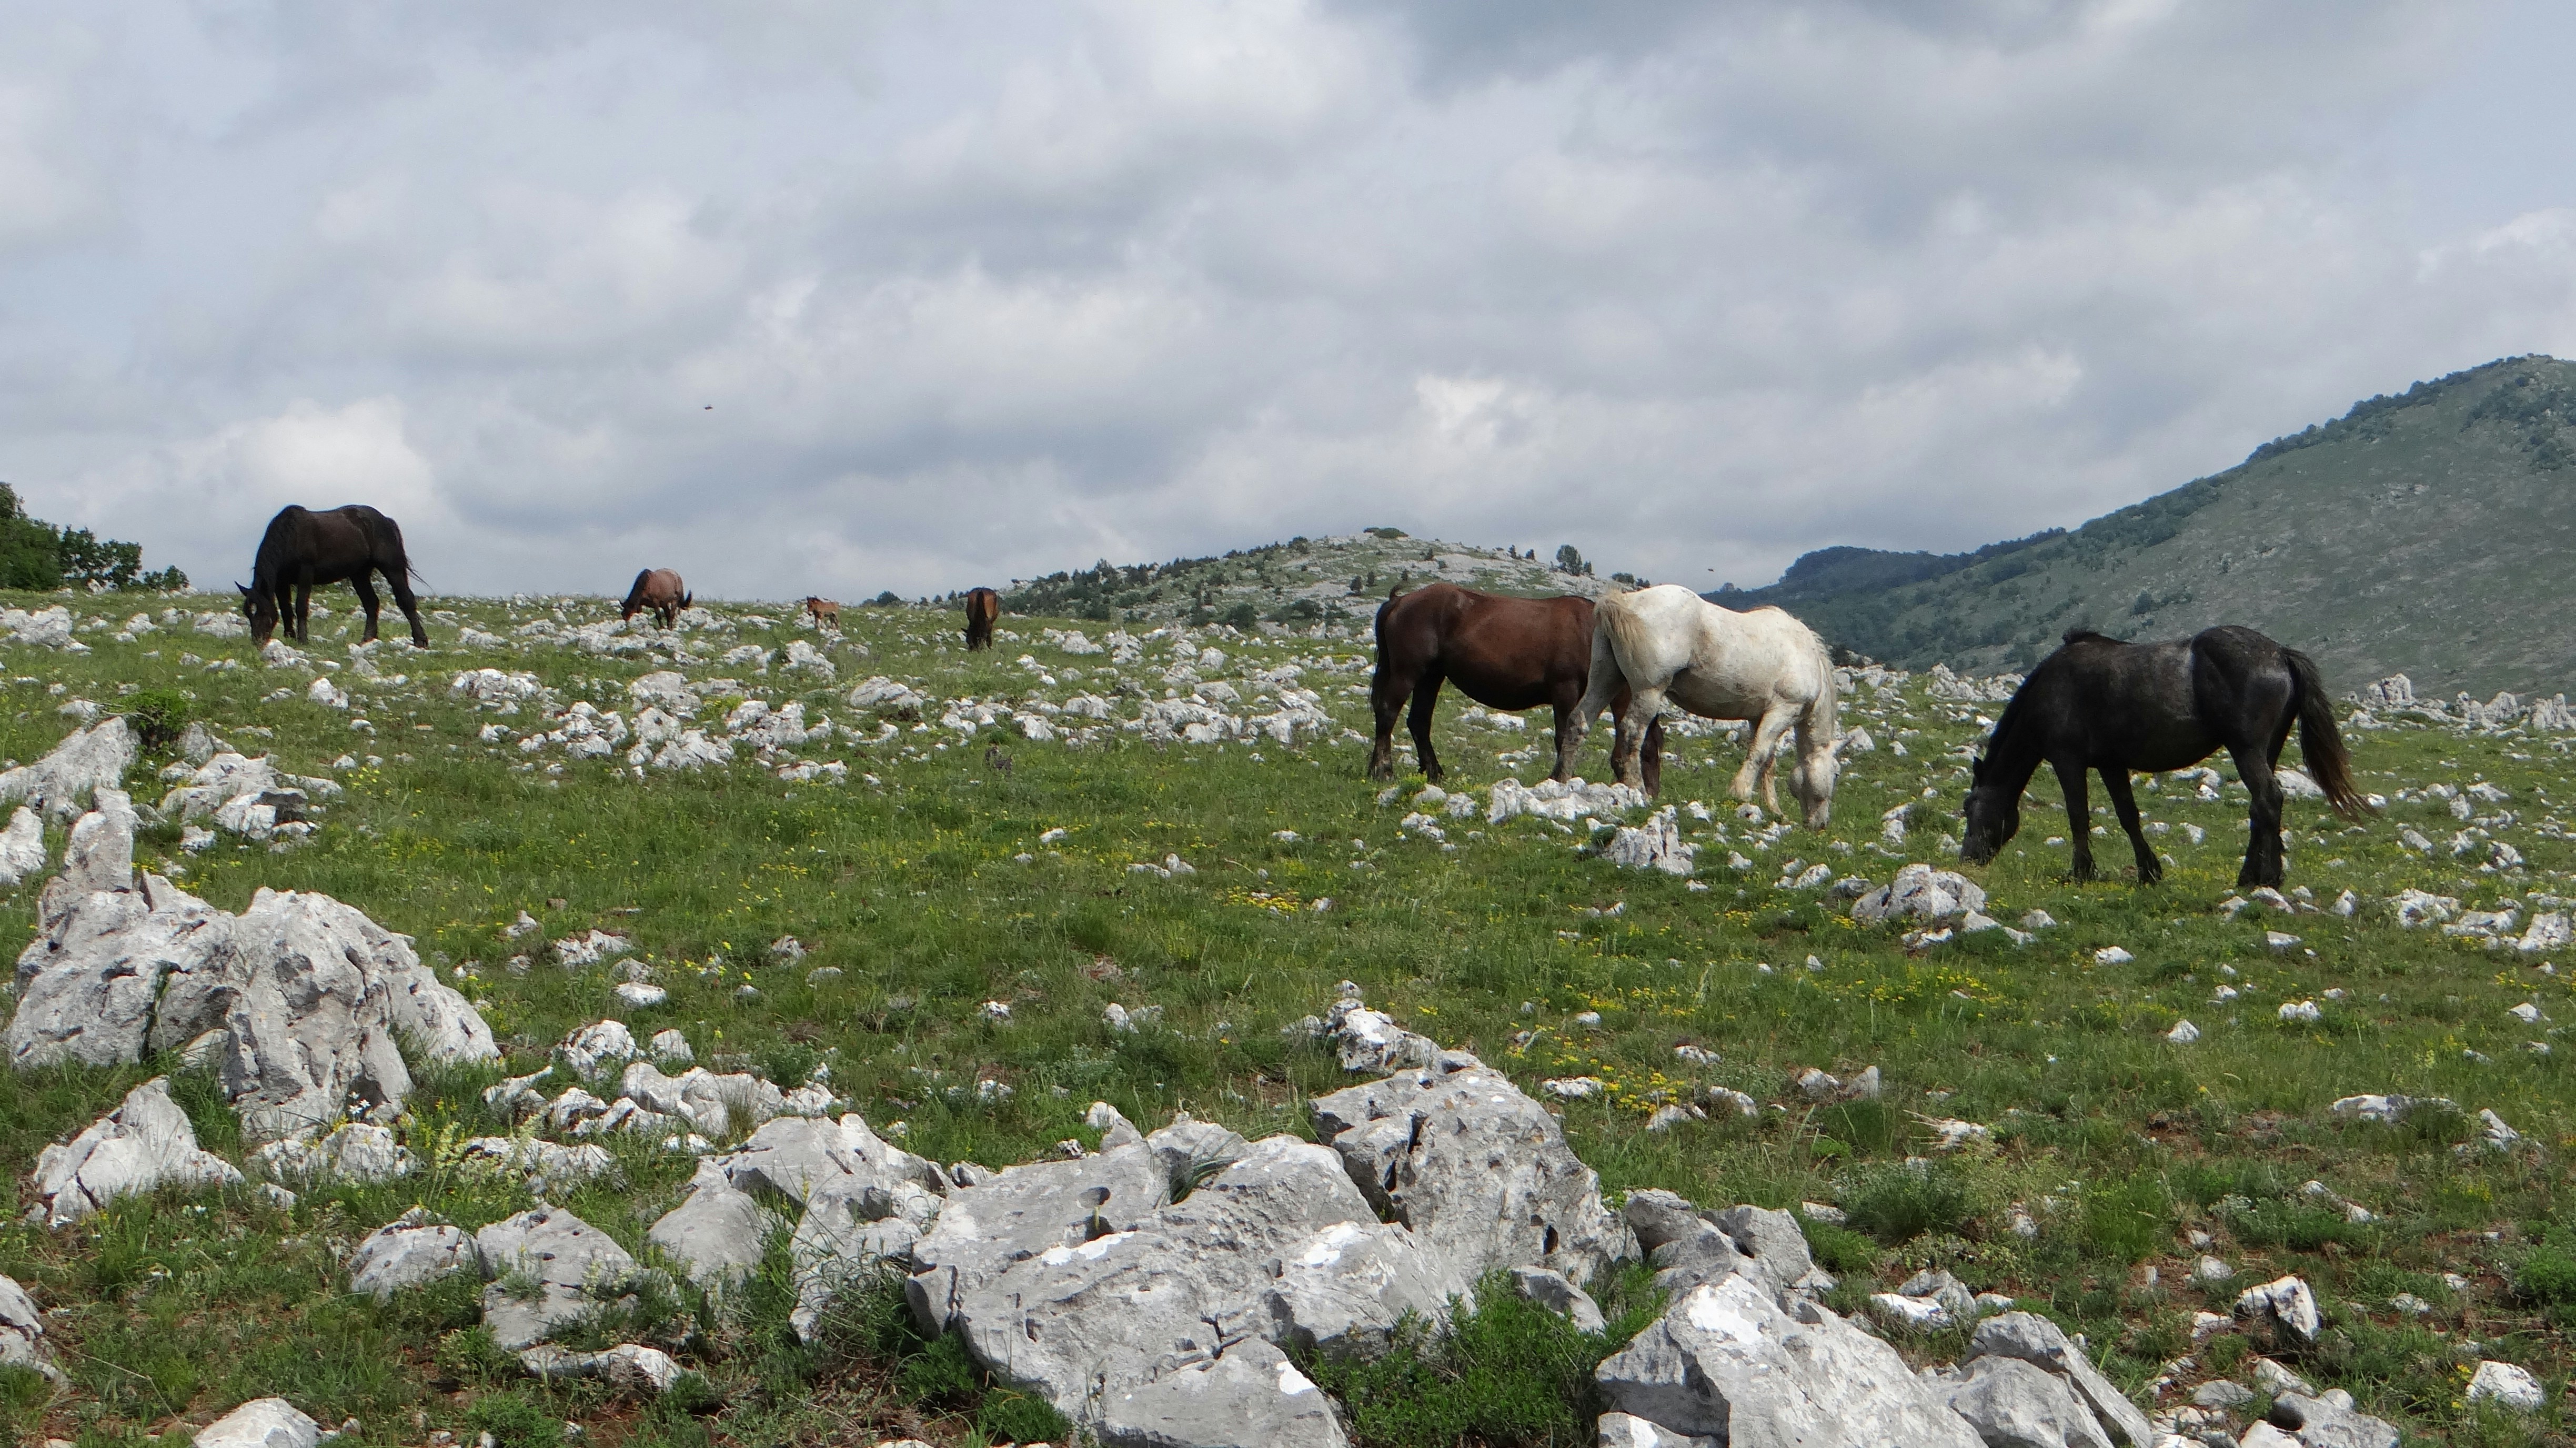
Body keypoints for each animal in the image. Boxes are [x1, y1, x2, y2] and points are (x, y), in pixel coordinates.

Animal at [238, 504, 428, 648]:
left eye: (262, 611)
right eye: (248, 613)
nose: (257, 641)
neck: (289, 536)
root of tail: (386, 520)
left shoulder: (305, 573)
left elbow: (300, 607)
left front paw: (303, 640)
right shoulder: (282, 582)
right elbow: (286, 610)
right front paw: (290, 637)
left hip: (391, 568)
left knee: (406, 600)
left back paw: (421, 641)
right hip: (359, 574)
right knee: (371, 603)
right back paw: (367, 640)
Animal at [621, 569, 691, 629]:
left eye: (630, 613)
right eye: (623, 614)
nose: (627, 624)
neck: (646, 584)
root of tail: (678, 576)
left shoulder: (655, 602)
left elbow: (658, 615)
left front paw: (661, 627)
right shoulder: (639, 604)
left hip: (674, 600)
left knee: (671, 614)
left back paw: (669, 627)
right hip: (664, 603)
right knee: (668, 613)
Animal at [1370, 583, 1661, 791]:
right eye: (1649, 752)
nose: (1651, 795)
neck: (1591, 634)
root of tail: (1399, 601)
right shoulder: (1565, 689)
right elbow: (1563, 736)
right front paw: (1560, 780)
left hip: (1431, 677)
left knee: (1418, 722)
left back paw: (1432, 773)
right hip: (1407, 674)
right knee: (1387, 714)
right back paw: (1383, 770)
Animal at [1566, 584, 1840, 827]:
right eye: (1835, 775)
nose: (1821, 824)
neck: (1806, 655)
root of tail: (1624, 601)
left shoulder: (1758, 717)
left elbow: (1767, 760)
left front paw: (1773, 808)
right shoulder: (1782, 711)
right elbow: (1760, 754)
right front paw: (1740, 793)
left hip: (1605, 680)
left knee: (1579, 721)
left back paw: (1562, 778)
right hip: (1649, 692)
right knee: (1632, 733)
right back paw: (1637, 789)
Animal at [1962, 625, 2370, 888]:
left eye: (1969, 807)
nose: (1967, 858)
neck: (2052, 687)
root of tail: (2280, 654)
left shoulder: (2068, 760)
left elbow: (2078, 817)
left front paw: (2082, 873)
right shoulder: (2111, 764)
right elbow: (2128, 816)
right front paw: (2148, 872)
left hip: (2247, 750)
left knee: (2268, 800)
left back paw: (2265, 878)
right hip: (2267, 750)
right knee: (2260, 807)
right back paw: (2251, 875)